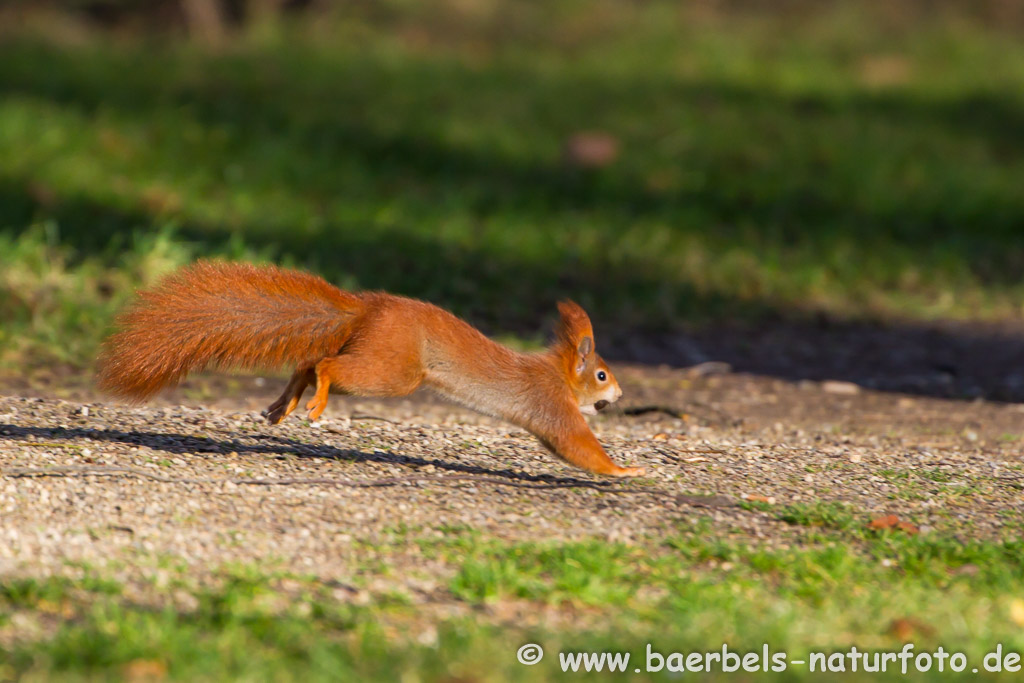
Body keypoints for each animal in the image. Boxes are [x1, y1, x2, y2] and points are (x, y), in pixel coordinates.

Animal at [94, 259, 638, 479]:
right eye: (602, 375)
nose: (620, 397)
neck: (561, 375)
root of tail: (367, 309)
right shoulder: (550, 402)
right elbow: (576, 444)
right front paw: (625, 468)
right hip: (395, 371)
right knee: (326, 363)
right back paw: (314, 404)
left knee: (308, 360)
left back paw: (284, 404)